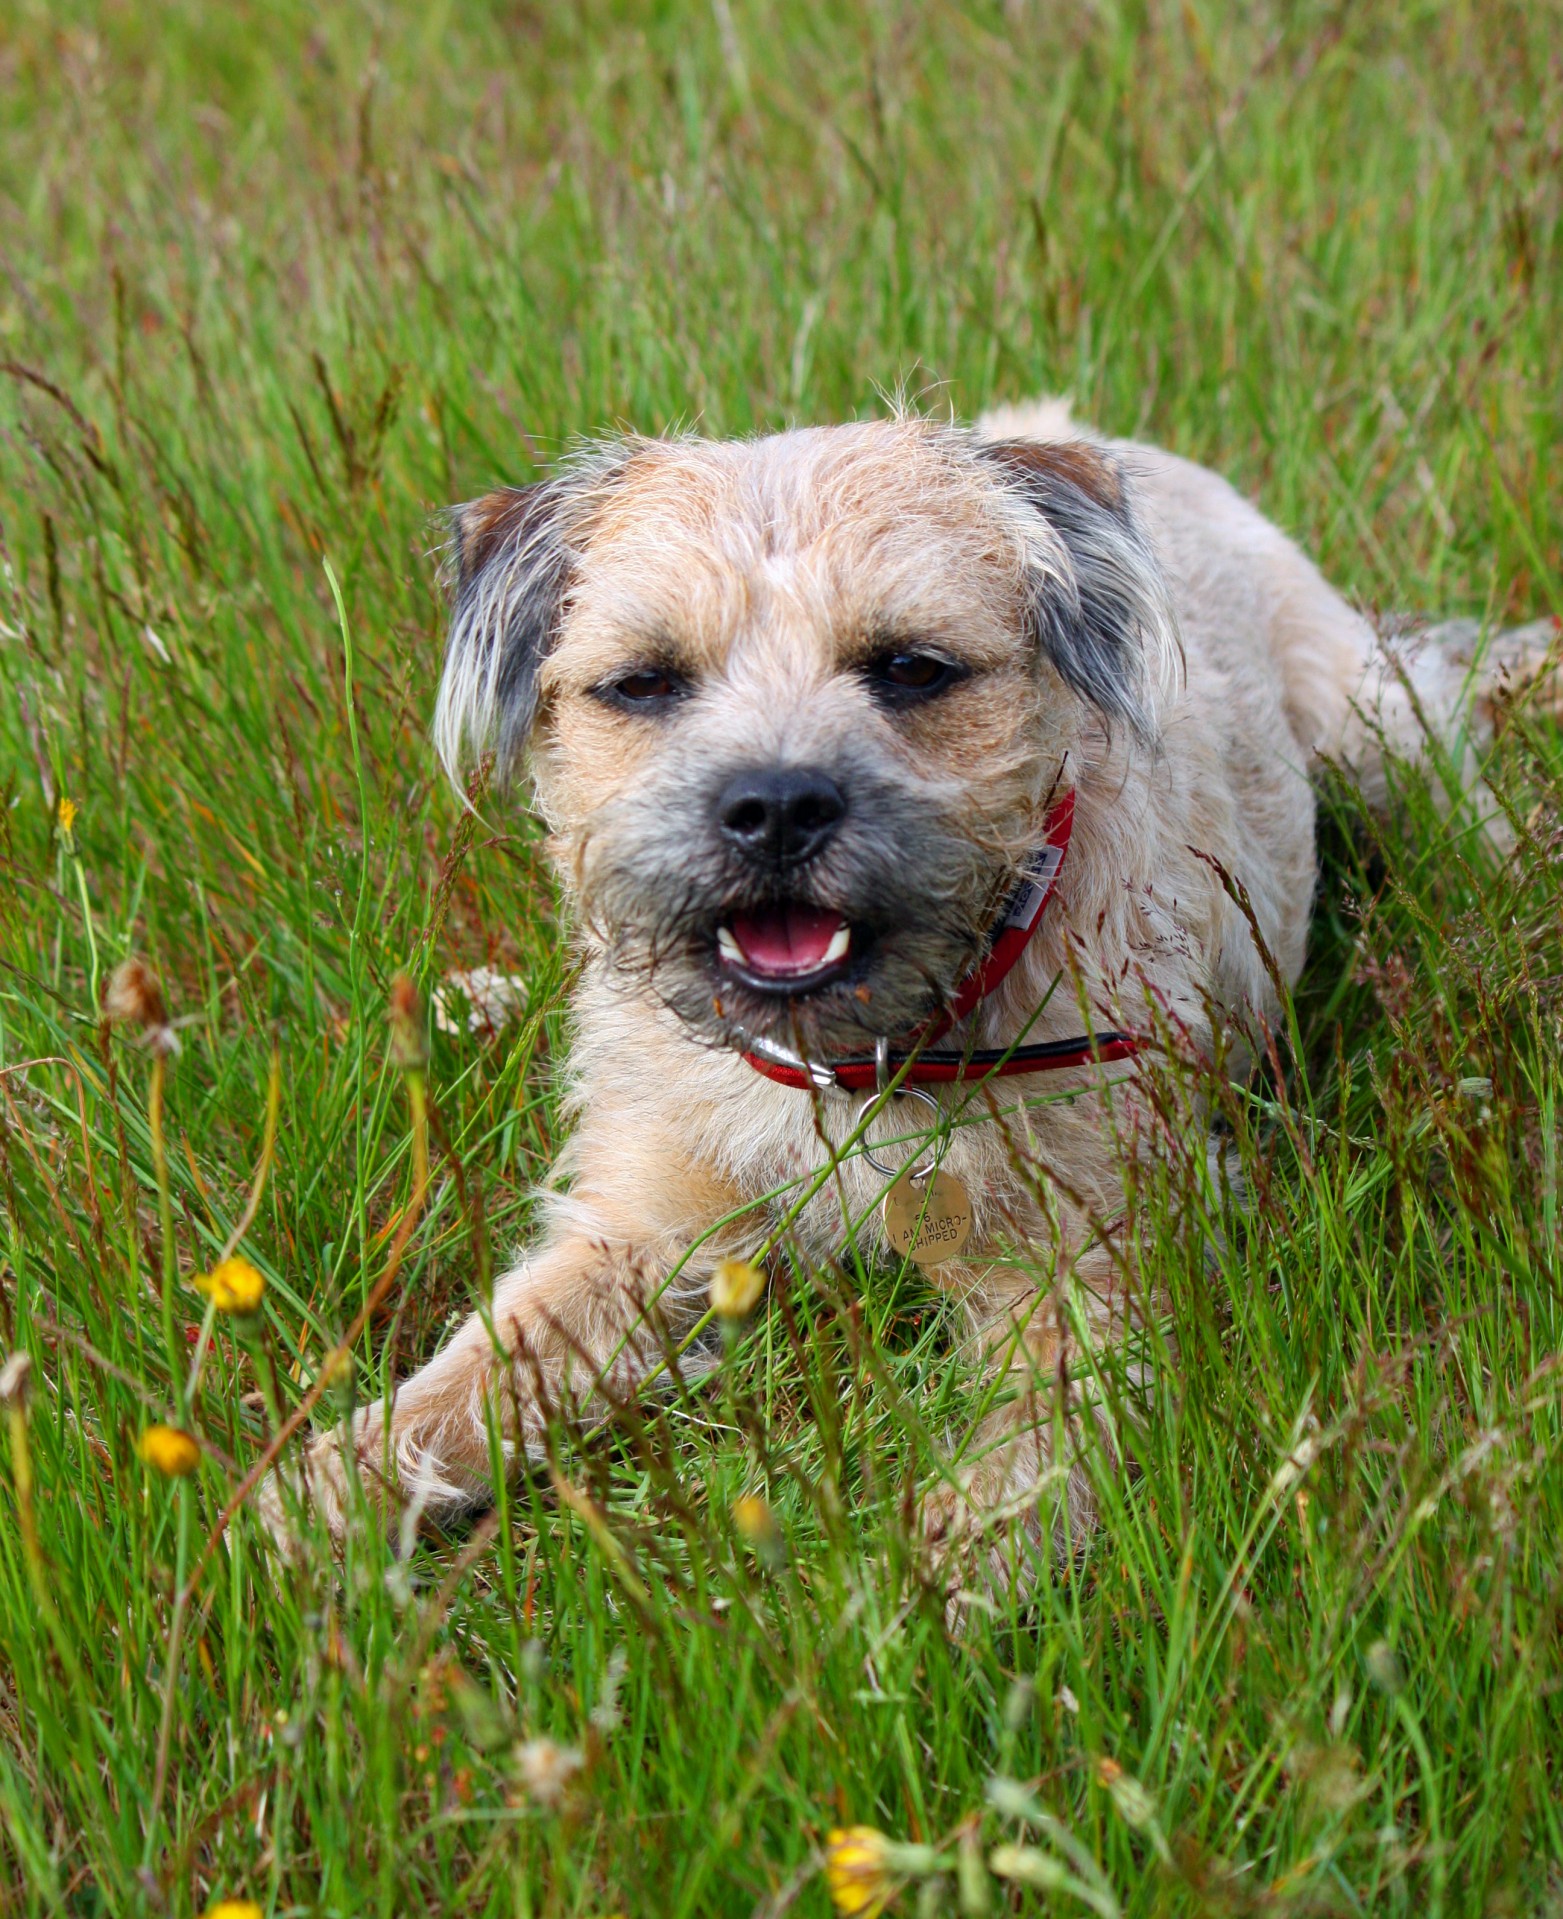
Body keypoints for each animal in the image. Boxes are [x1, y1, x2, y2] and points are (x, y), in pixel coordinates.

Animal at [266, 397, 1551, 1581]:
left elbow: (1021, 1465)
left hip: (1371, 728)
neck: (855, 1060)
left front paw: (902, 1599)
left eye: (910, 668)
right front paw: (319, 1488)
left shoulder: (1094, 1271)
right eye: (644, 685)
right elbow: (480, 1367)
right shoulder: (638, 1230)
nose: (775, 803)